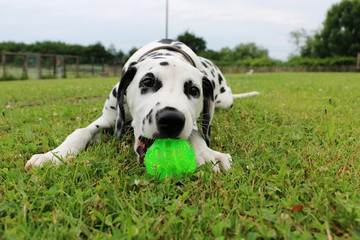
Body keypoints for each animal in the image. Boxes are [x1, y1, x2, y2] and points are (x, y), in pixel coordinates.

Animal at [23, 39, 258, 172]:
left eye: (194, 90)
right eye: (147, 82)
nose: (171, 120)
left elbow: (195, 133)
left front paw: (208, 154)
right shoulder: (109, 118)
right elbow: (80, 131)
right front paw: (54, 156)